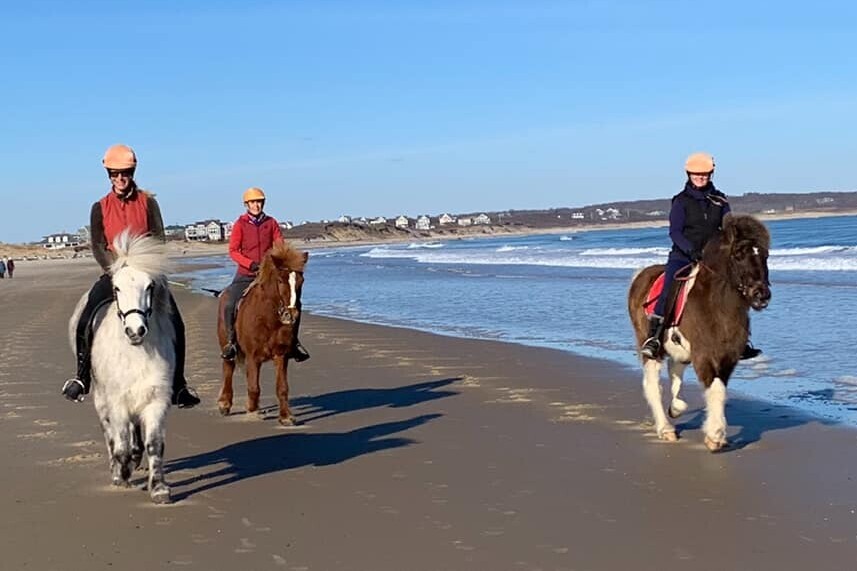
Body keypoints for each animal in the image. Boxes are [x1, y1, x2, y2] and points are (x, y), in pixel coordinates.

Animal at [68, 230, 176, 502]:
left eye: (149, 286)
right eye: (116, 288)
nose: (135, 331)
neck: (135, 352)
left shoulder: (156, 399)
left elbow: (154, 444)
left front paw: (159, 488)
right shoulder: (116, 401)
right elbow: (121, 442)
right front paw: (122, 473)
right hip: (101, 397)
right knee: (110, 433)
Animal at [624, 214, 772, 452]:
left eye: (765, 255)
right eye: (739, 254)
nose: (761, 294)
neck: (718, 303)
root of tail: (640, 275)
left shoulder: (728, 357)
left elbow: (719, 389)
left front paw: (714, 432)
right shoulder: (703, 354)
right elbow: (716, 389)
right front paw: (715, 435)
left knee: (675, 369)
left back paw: (676, 407)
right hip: (648, 345)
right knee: (653, 385)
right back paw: (665, 429)